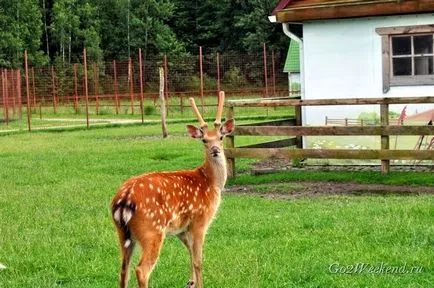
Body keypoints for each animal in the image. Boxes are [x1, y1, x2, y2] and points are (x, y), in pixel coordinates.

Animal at [112, 91, 234, 288]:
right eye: (204, 140)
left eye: (221, 137)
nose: (215, 150)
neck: (211, 183)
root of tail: (123, 201)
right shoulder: (200, 220)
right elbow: (198, 261)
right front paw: (198, 283)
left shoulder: (181, 229)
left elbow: (190, 255)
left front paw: (190, 282)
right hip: (152, 230)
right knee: (141, 270)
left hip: (123, 234)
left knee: (124, 270)